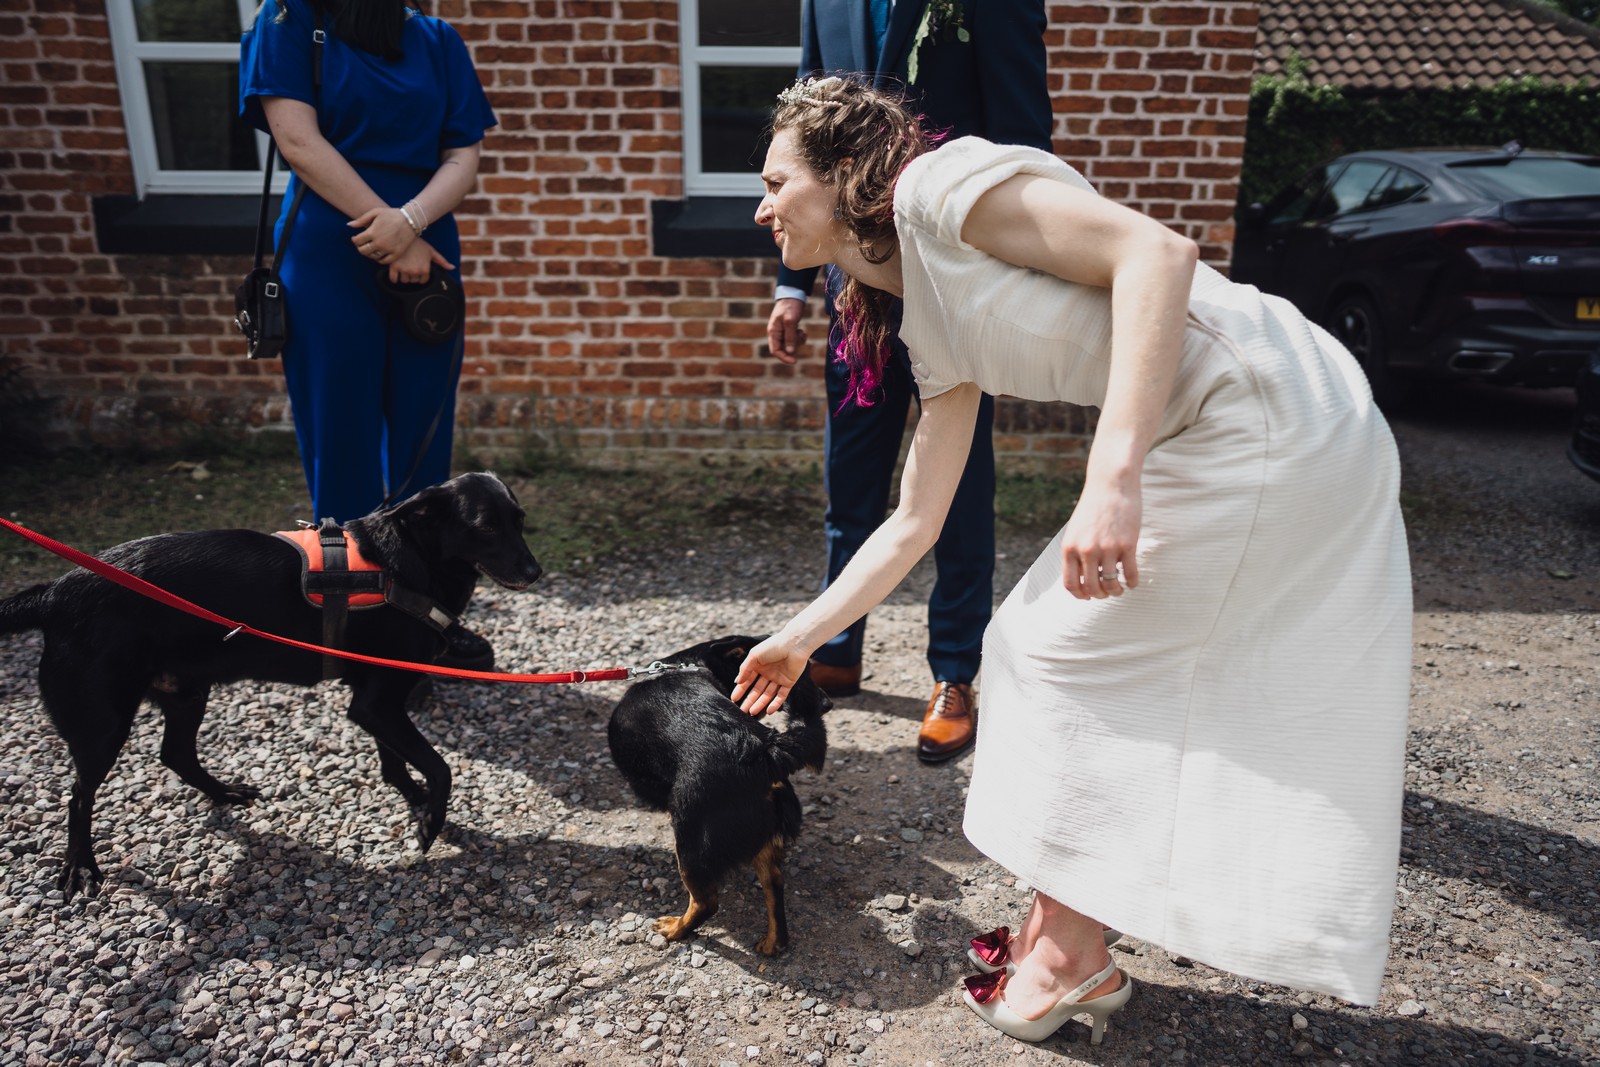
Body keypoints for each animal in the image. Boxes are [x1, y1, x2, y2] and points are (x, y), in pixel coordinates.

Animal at [0, 470, 544, 895]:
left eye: (520, 520)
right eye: (485, 526)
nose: (536, 571)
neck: (406, 562)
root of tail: (54, 593)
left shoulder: (379, 703)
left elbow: (397, 763)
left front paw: (418, 805)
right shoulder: (376, 705)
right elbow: (439, 766)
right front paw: (431, 821)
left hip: (187, 691)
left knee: (175, 754)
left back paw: (223, 793)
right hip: (103, 722)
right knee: (79, 794)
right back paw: (80, 867)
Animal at [604, 633, 832, 959]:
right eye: (803, 673)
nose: (827, 703)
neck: (687, 664)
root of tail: (763, 749)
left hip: (690, 842)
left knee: (705, 903)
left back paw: (675, 929)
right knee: (774, 888)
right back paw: (772, 943)